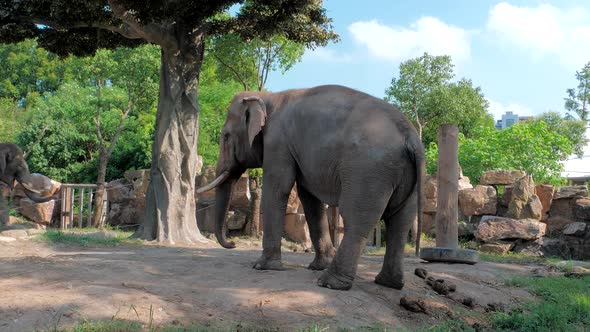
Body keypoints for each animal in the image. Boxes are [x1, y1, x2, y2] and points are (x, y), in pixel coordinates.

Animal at [200, 85, 426, 290]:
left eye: (225, 136)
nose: (232, 244)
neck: (267, 96)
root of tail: (411, 136)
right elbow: (308, 198)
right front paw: (317, 266)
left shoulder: (278, 142)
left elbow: (278, 189)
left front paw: (262, 267)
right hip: (406, 176)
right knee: (400, 221)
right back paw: (388, 283)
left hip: (368, 171)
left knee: (357, 218)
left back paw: (329, 283)